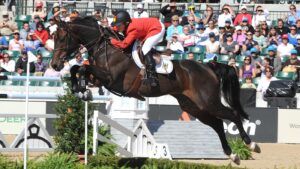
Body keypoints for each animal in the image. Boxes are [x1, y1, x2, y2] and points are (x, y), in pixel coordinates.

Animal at [51, 16, 260, 164]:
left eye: (62, 38)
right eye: (54, 38)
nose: (54, 65)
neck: (105, 47)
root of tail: (209, 66)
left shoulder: (111, 79)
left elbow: (82, 68)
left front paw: (80, 89)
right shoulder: (99, 79)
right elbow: (77, 68)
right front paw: (79, 89)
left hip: (208, 101)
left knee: (233, 115)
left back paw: (251, 144)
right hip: (194, 107)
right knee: (217, 124)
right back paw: (232, 155)